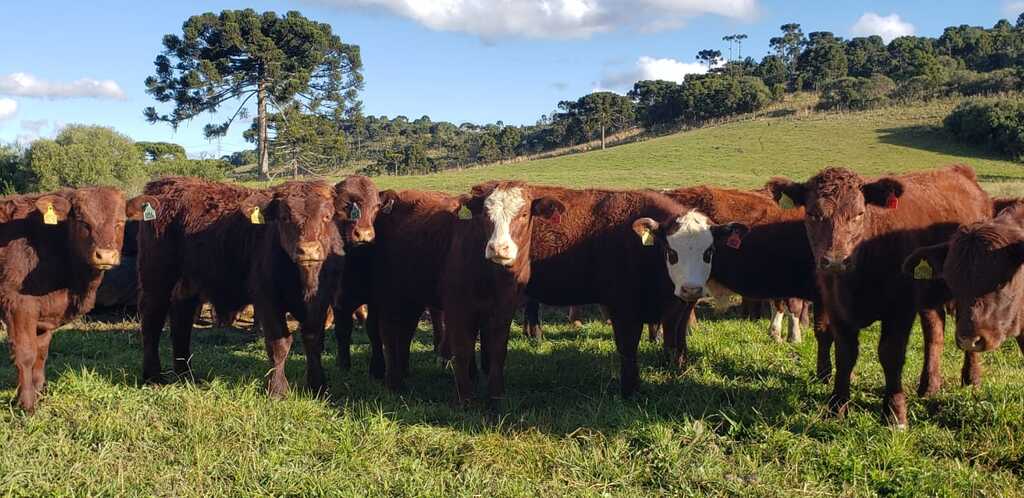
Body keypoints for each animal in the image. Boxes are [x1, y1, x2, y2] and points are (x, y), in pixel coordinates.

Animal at [0, 186, 153, 411]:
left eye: (120, 222)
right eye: (83, 222)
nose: (105, 255)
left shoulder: (45, 314)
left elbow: (41, 353)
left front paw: (38, 394)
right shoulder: (19, 305)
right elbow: (26, 353)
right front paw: (27, 404)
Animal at [136, 177, 360, 395]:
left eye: (327, 216)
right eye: (284, 217)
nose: (308, 250)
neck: (304, 280)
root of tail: (164, 186)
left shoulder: (321, 300)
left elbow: (313, 339)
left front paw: (318, 386)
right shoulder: (267, 299)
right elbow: (279, 343)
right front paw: (278, 390)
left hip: (187, 287)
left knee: (181, 325)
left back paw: (186, 375)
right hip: (156, 282)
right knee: (151, 324)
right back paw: (153, 377)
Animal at [440, 182, 565, 407]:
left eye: (524, 214)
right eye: (486, 214)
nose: (498, 248)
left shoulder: (504, 309)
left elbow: (498, 348)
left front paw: (496, 394)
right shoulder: (458, 307)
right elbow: (462, 348)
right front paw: (465, 397)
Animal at [770, 164, 987, 426]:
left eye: (859, 213)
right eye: (813, 214)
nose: (835, 261)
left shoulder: (900, 309)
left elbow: (890, 355)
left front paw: (895, 413)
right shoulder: (836, 308)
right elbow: (845, 354)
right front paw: (837, 406)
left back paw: (971, 379)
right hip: (928, 295)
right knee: (934, 332)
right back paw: (928, 386)